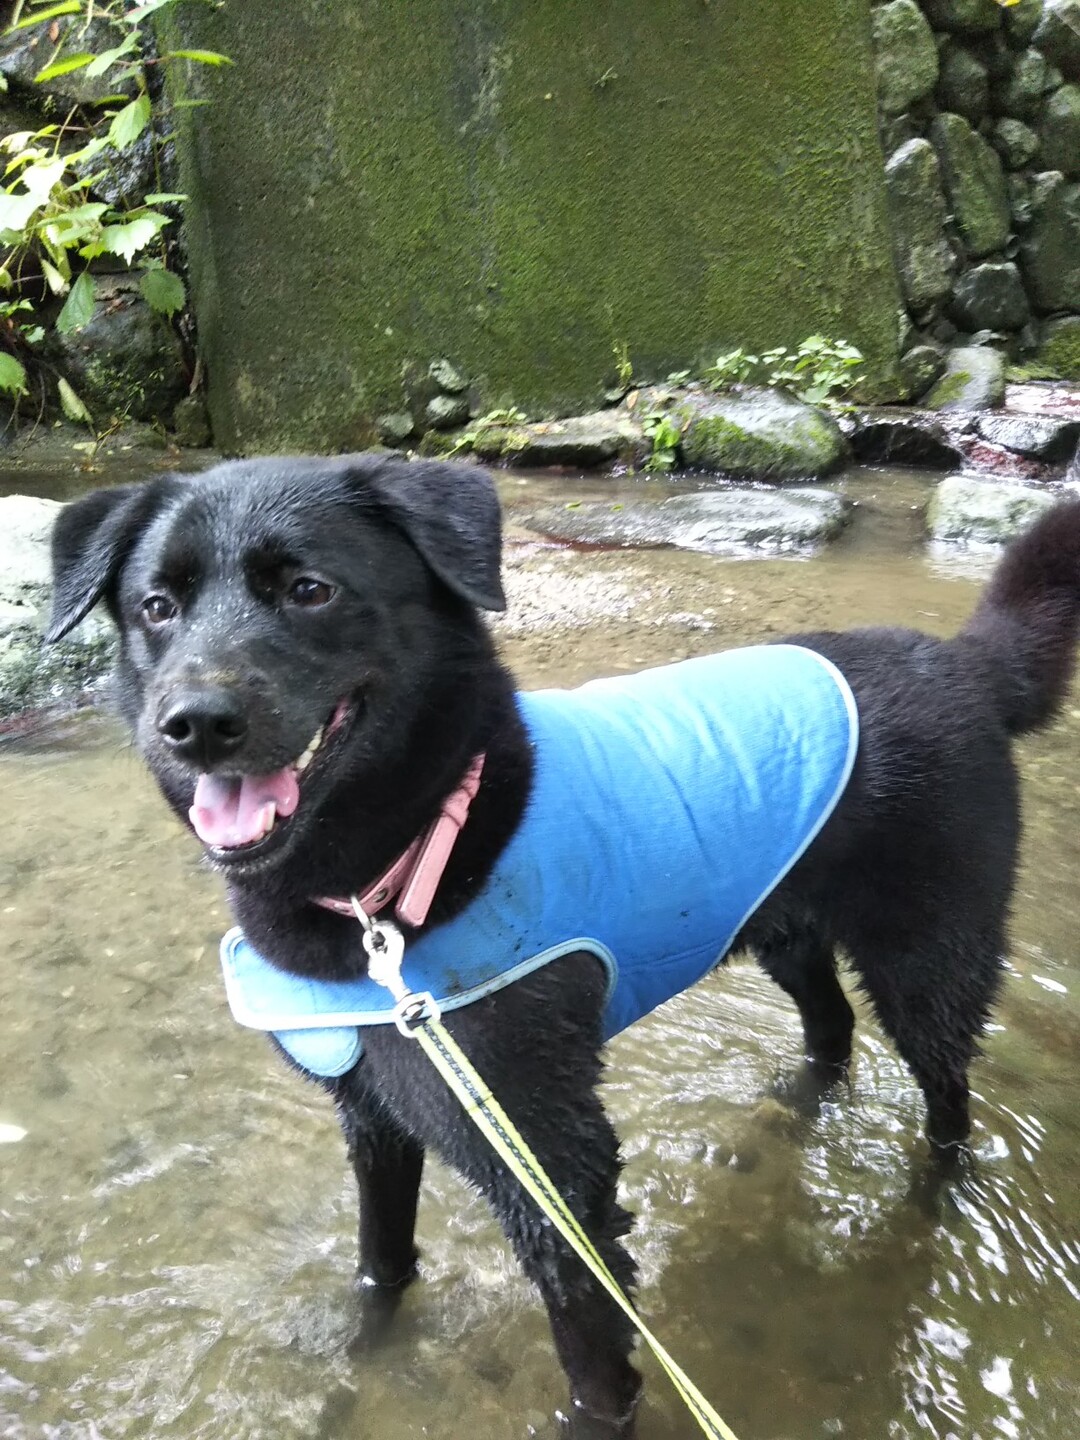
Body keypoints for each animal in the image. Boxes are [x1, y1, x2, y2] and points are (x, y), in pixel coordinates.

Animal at [50, 457, 1080, 1428]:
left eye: (310, 589)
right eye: (156, 608)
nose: (195, 725)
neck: (413, 859)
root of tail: (961, 664)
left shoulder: (551, 1166)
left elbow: (593, 1363)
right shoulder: (377, 1118)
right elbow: (382, 1265)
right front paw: (362, 1361)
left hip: (927, 961)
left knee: (947, 1097)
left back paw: (931, 1202)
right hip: (783, 928)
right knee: (831, 1028)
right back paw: (796, 1110)